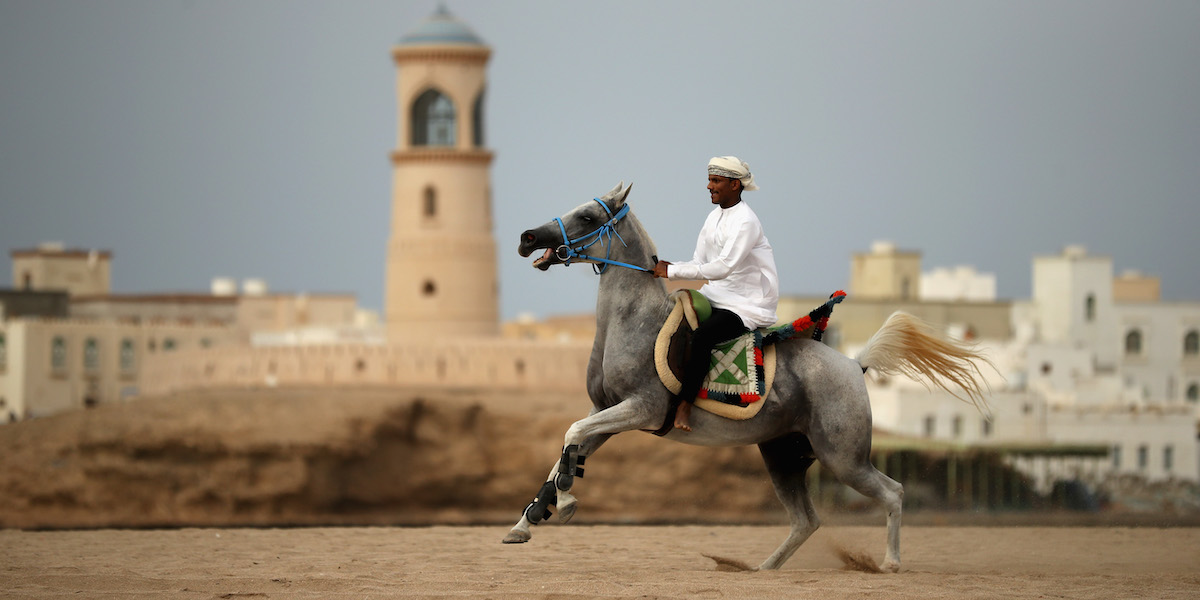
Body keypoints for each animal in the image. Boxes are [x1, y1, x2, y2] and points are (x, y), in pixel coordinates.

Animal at [506, 182, 984, 571]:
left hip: (844, 459)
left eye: (588, 216)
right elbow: (566, 449)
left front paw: (566, 501)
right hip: (782, 457)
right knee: (806, 521)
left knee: (893, 492)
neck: (631, 323)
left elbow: (571, 435)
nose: (528, 238)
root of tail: (854, 364)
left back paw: (890, 563)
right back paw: (761, 569)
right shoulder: (605, 412)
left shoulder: (641, 409)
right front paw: (527, 521)